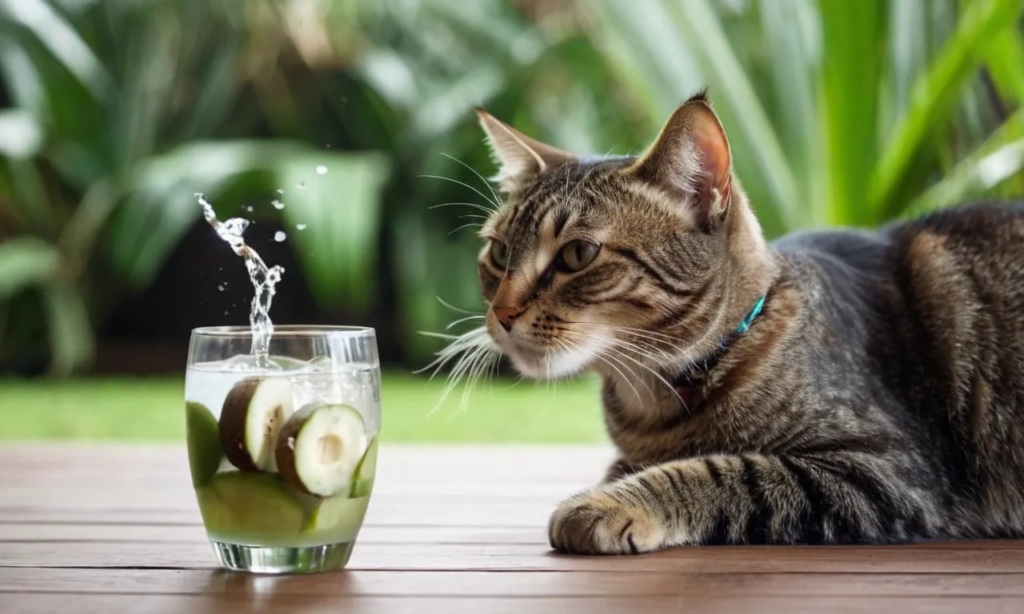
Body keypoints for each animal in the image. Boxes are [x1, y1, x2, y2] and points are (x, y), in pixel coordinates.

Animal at [462, 92, 1024, 556]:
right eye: (499, 252)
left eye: (578, 254)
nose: (502, 313)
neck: (653, 404)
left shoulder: (886, 470)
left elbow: (722, 470)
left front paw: (607, 503)